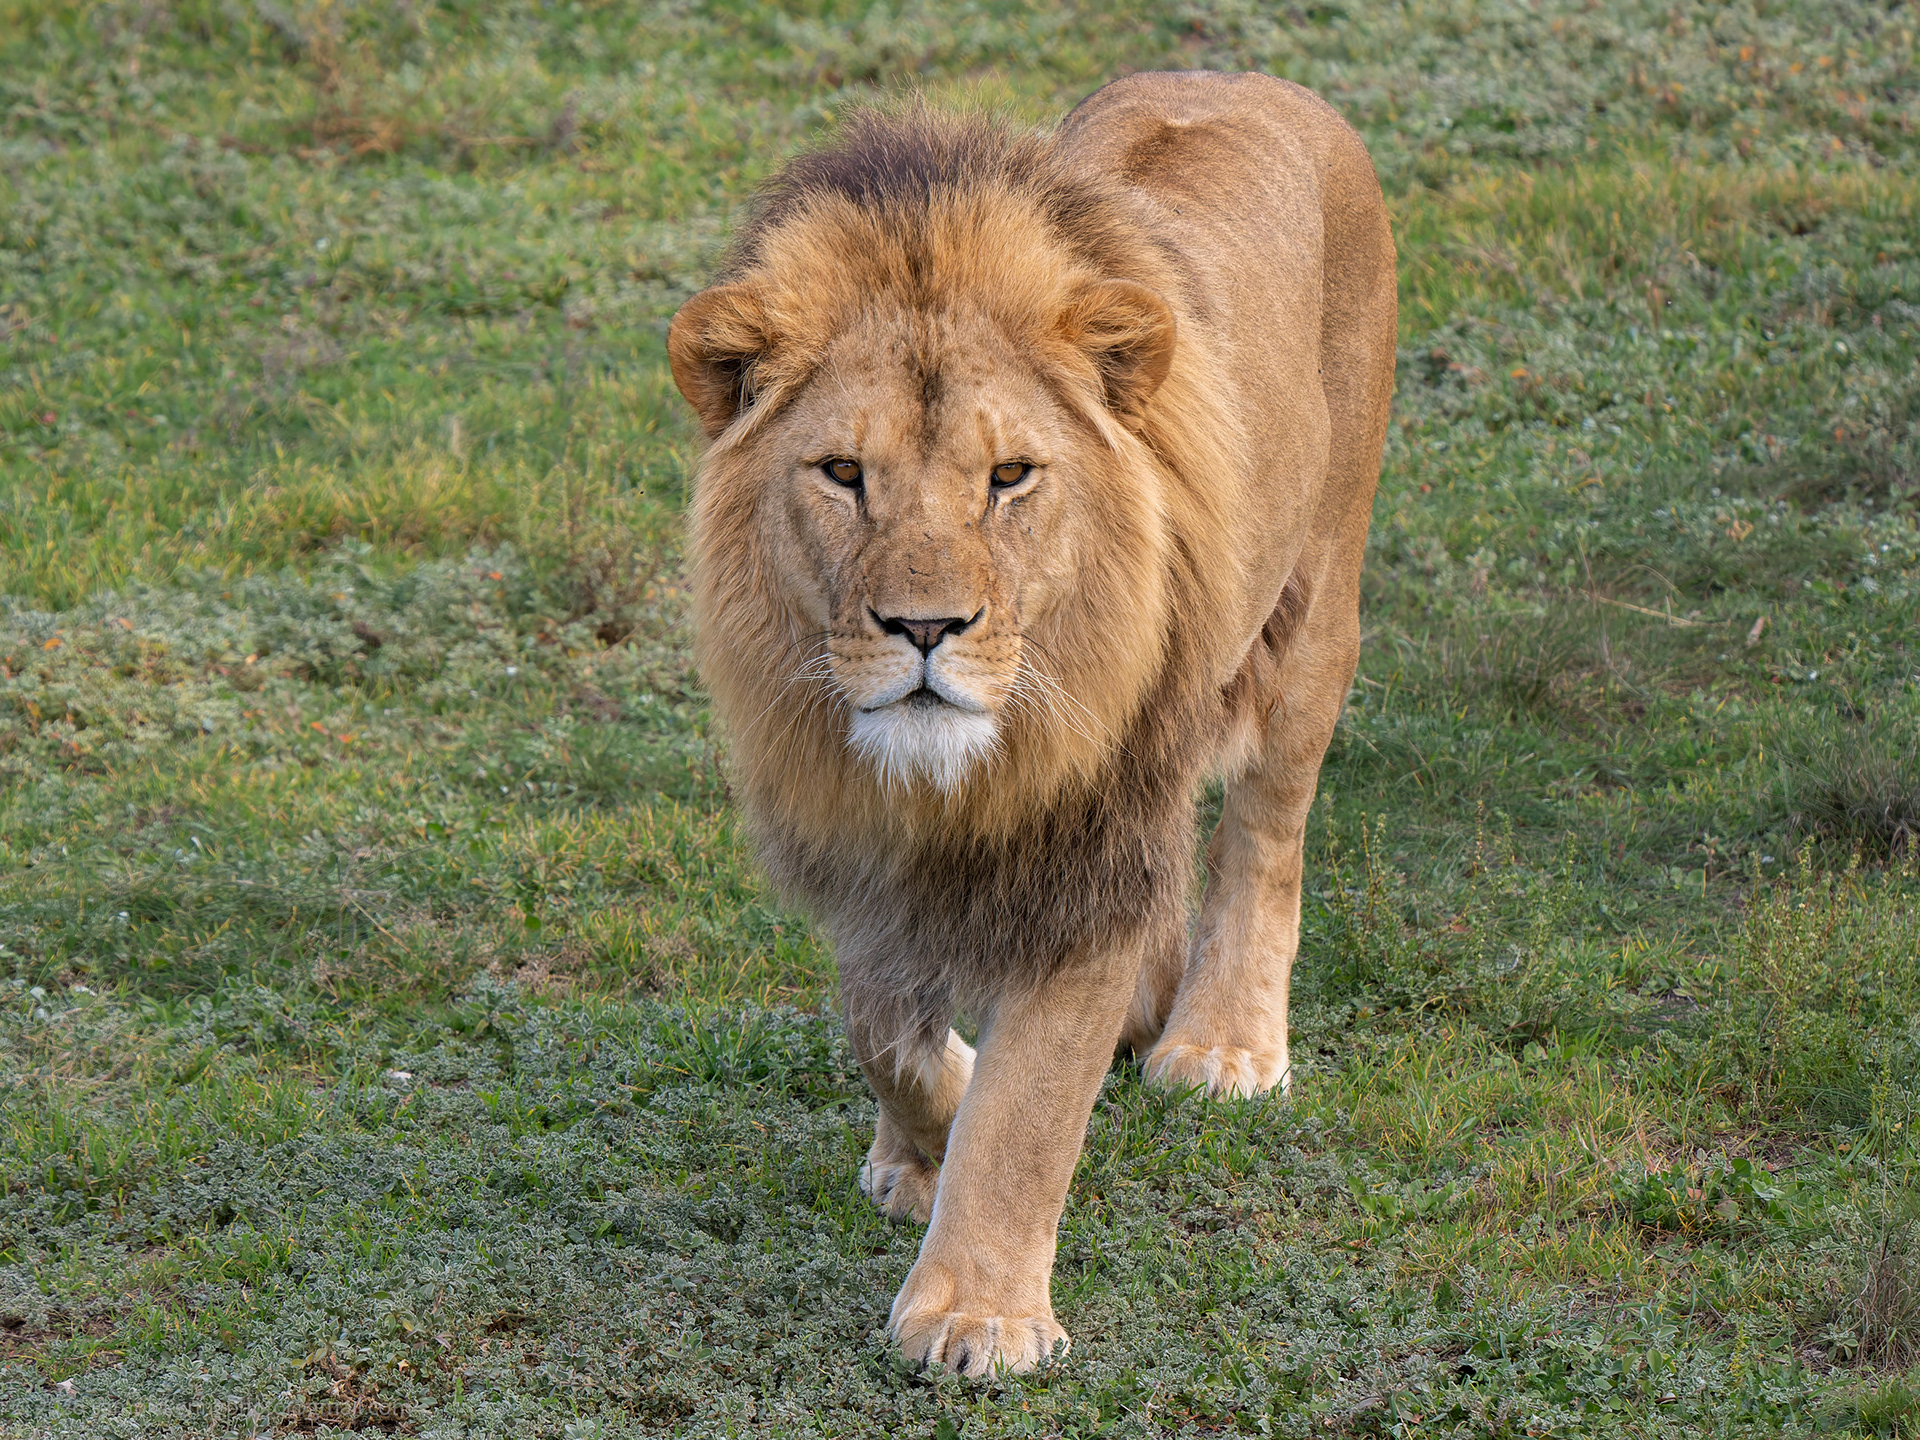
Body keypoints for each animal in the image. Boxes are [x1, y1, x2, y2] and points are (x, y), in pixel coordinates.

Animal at [667, 71, 1396, 1377]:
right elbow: (882, 1026)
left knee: (1264, 832)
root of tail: (1253, 78)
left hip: (1314, 607)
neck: (957, 777)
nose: (924, 628)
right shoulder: (865, 848)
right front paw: (924, 1143)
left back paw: (1222, 1042)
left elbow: (1034, 1102)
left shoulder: (1090, 845)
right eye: (842, 472)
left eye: (1010, 477)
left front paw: (977, 1312)